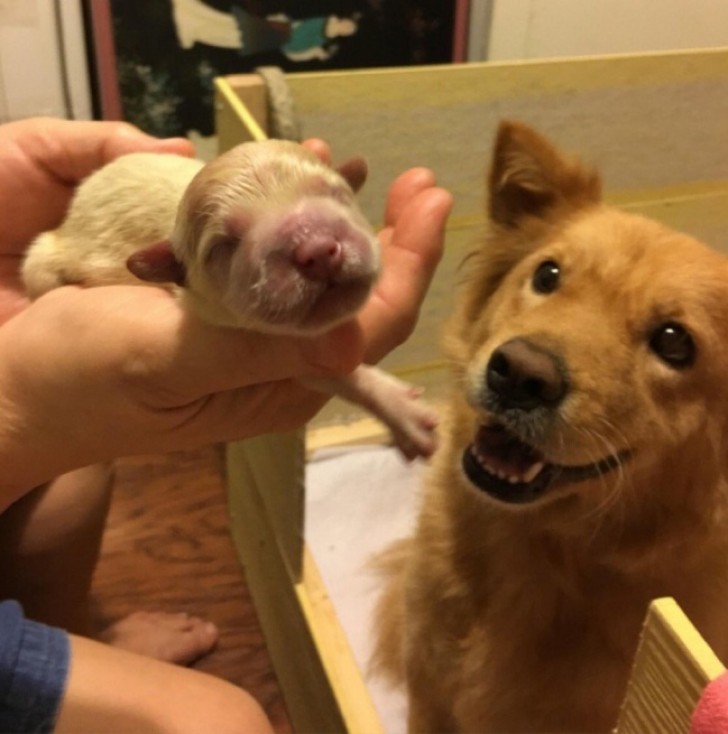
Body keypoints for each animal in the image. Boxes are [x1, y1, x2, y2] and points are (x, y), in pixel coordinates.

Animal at [22, 140, 436, 458]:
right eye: (224, 246)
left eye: (336, 194)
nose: (318, 250)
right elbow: (340, 374)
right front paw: (400, 409)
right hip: (42, 261)